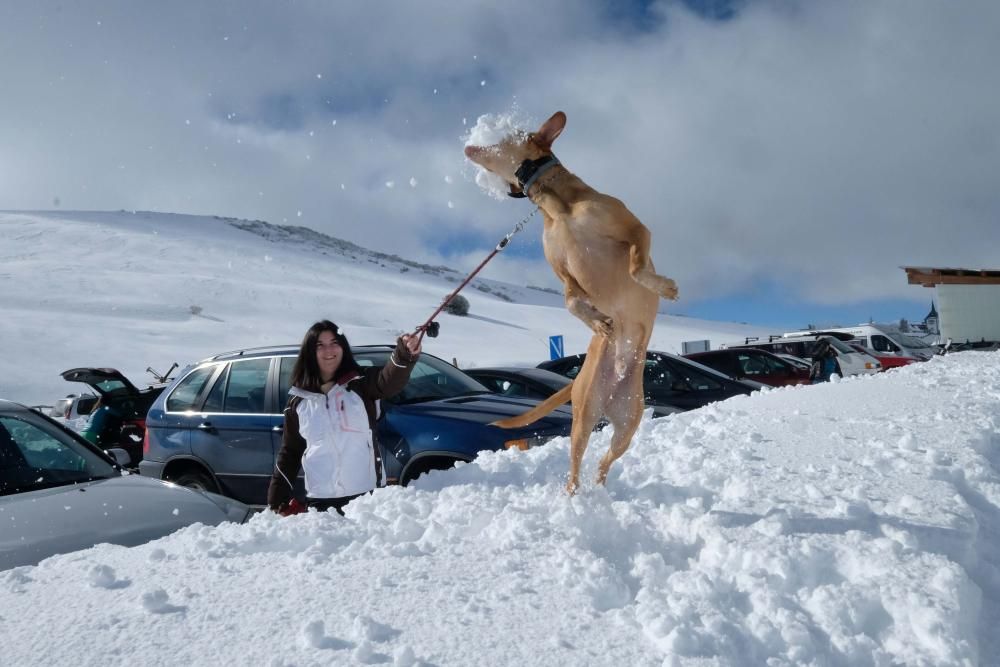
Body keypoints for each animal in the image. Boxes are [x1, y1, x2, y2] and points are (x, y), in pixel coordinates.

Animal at [468, 111, 680, 496]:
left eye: (508, 134)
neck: (556, 206)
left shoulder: (636, 229)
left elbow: (636, 265)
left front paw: (663, 287)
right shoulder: (564, 275)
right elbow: (569, 302)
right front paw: (597, 321)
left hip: (627, 423)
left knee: (603, 462)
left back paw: (596, 492)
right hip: (584, 417)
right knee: (578, 464)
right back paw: (575, 497)